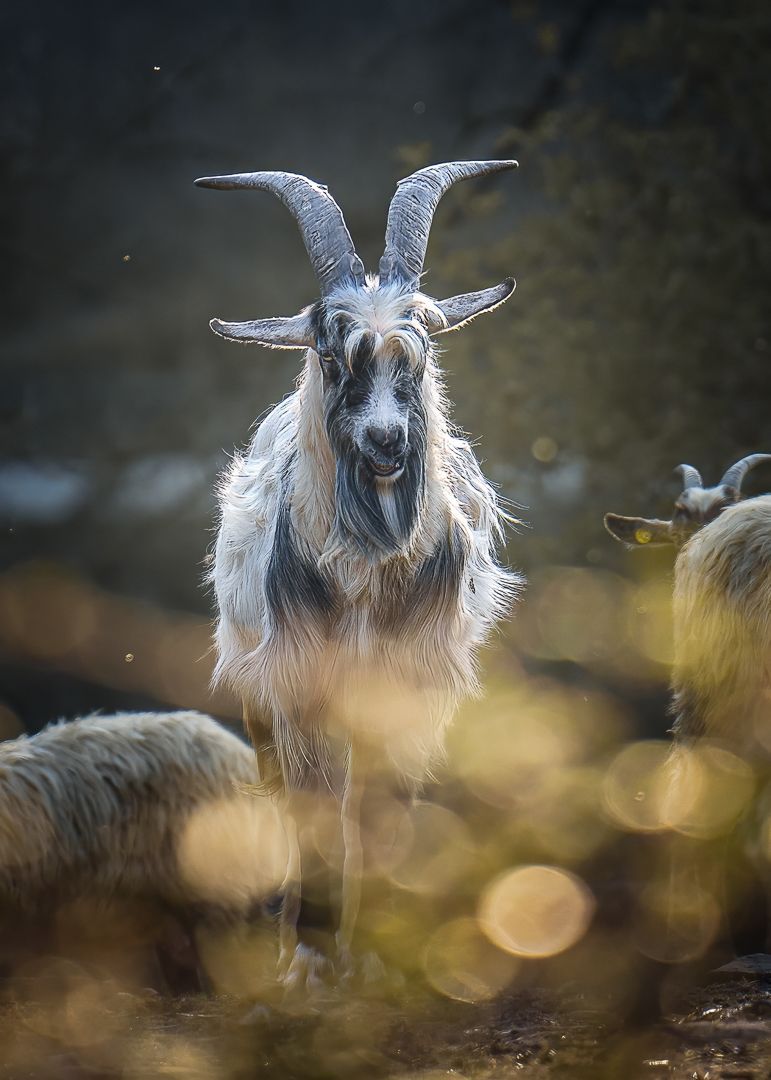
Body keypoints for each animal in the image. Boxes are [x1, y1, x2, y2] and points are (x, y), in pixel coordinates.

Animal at [197, 161, 522, 984]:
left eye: (419, 352)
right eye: (330, 352)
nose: (385, 442)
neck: (367, 582)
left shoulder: (407, 684)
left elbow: (383, 813)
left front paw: (376, 954)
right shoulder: (300, 682)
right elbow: (313, 812)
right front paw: (312, 957)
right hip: (253, 681)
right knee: (287, 793)